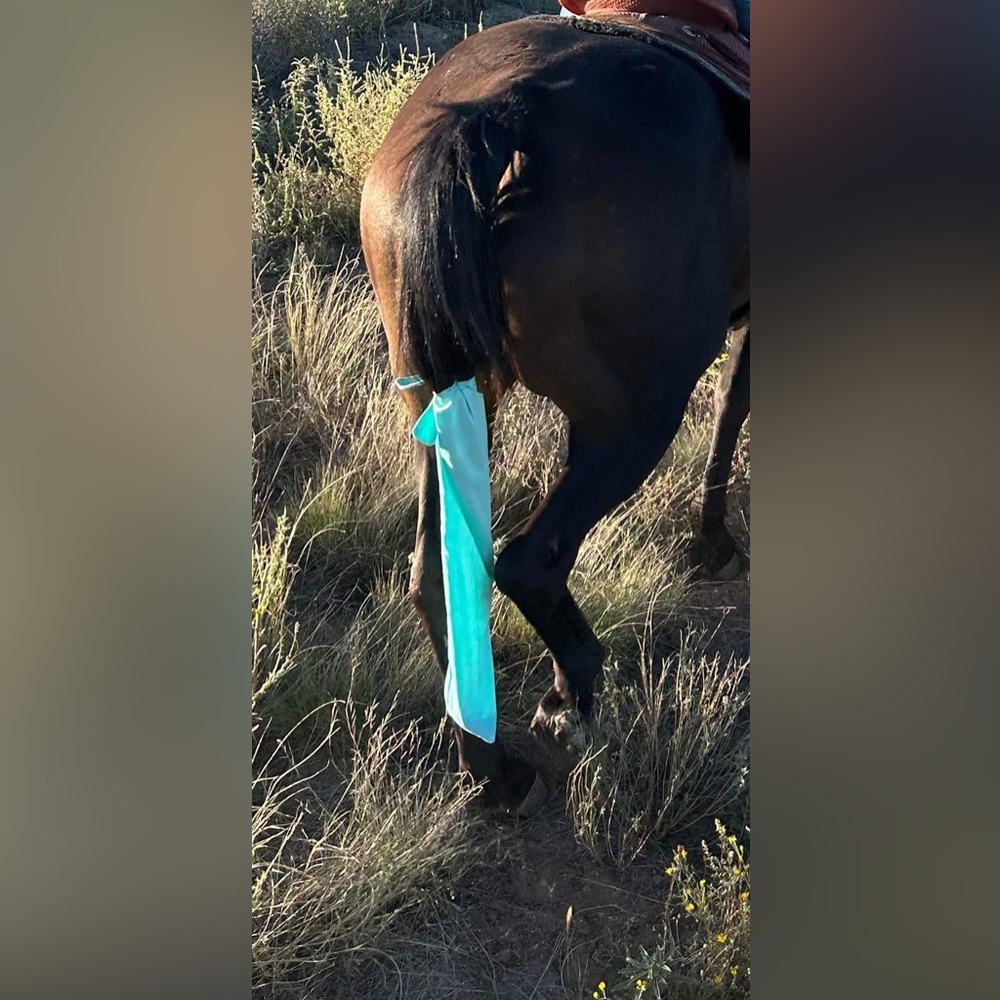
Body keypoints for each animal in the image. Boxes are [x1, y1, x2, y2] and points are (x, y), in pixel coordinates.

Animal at [360, 13, 749, 816]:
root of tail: (493, 115)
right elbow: (737, 400)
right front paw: (716, 539)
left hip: (443, 402)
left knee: (435, 575)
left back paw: (491, 771)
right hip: (635, 418)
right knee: (530, 561)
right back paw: (569, 701)